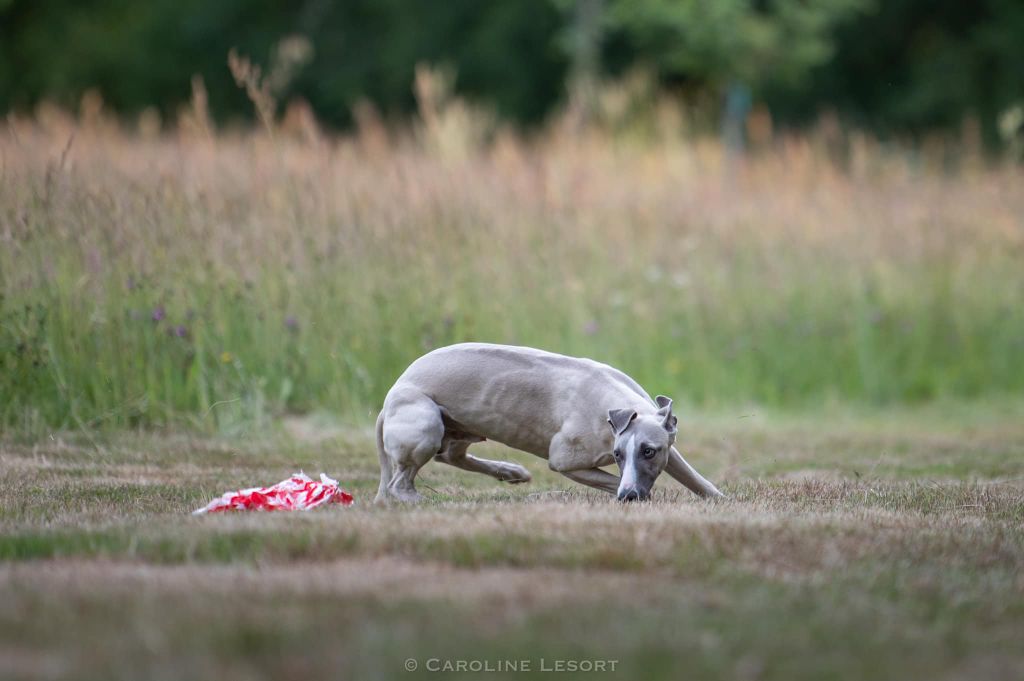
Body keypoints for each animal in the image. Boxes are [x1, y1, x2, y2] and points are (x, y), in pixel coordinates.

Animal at [372, 342, 724, 501]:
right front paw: (636, 495)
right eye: (617, 454)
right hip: (426, 424)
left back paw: (510, 471)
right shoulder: (566, 462)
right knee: (399, 483)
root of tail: (389, 398)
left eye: (650, 451)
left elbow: (695, 478)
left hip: (462, 429)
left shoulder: (669, 445)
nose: (628, 496)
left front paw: (720, 500)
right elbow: (610, 480)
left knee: (450, 455)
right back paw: (418, 498)